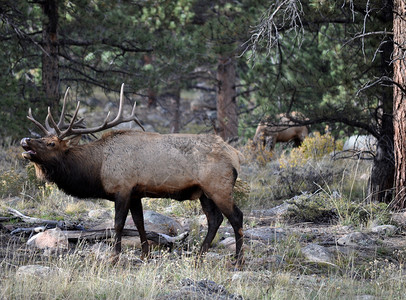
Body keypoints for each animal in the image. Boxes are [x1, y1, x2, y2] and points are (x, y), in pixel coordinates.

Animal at [21, 83, 244, 266]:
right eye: (42, 138)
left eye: (51, 143)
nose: (25, 140)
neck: (97, 169)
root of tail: (236, 155)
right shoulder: (136, 193)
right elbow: (139, 223)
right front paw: (145, 254)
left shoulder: (123, 188)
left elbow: (118, 224)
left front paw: (114, 257)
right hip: (204, 193)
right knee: (215, 220)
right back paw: (199, 256)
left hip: (219, 187)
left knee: (236, 217)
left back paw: (238, 260)